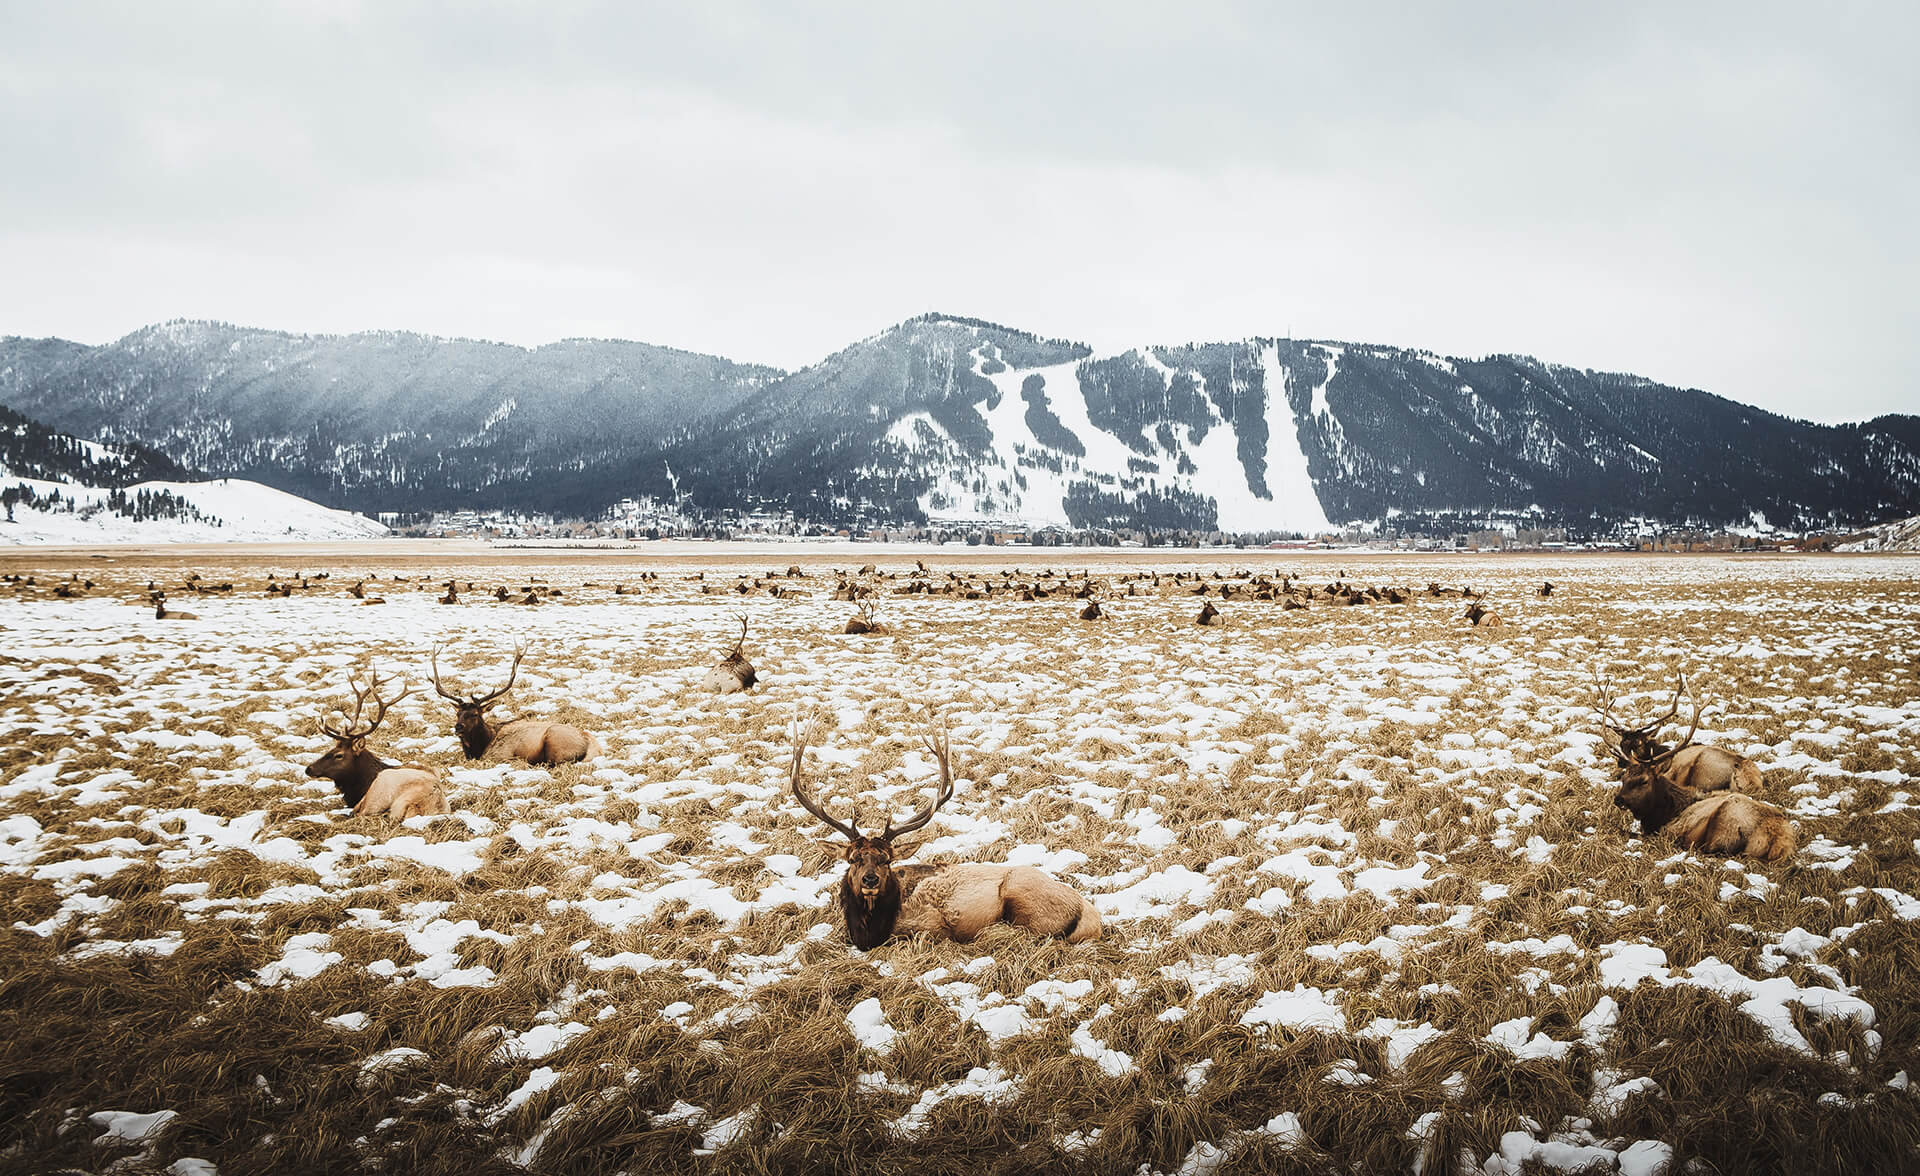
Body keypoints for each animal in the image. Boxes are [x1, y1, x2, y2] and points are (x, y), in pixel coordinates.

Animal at [305, 669, 449, 820]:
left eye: (339, 755)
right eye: (331, 749)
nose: (308, 769)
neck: (362, 785)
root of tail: (418, 804)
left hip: (377, 795)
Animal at [430, 645, 603, 765]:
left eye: (475, 714)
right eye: (458, 713)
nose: (458, 727)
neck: (480, 747)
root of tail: (594, 744)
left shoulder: (500, 756)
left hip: (555, 742)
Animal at [789, 723, 1100, 951]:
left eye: (886, 859)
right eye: (853, 859)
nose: (870, 879)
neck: (869, 931)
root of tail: (1092, 917)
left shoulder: (930, 924)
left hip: (1025, 900)